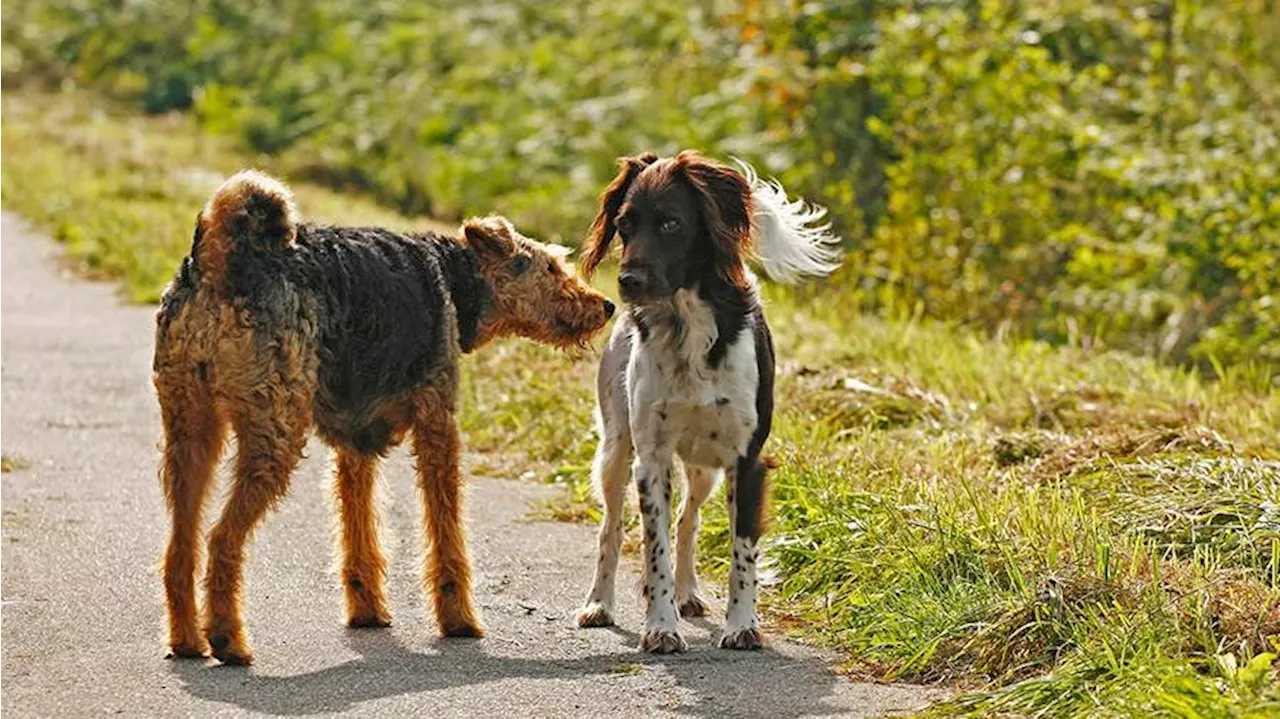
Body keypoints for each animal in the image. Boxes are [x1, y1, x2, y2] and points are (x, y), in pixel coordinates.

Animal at [152, 170, 611, 665]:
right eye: (550, 268)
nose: (606, 305)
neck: (453, 278)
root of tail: (220, 258)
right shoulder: (438, 426)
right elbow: (446, 530)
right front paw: (459, 619)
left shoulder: (355, 444)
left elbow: (360, 533)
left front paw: (367, 610)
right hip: (274, 431)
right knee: (221, 540)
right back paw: (228, 639)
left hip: (189, 427)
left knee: (180, 546)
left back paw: (186, 641)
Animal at [573, 149, 834, 649]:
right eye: (624, 224)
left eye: (671, 223)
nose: (627, 282)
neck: (686, 326)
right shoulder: (651, 459)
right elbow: (653, 549)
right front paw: (660, 626)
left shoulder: (746, 460)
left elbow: (742, 552)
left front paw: (742, 625)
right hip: (616, 451)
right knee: (610, 528)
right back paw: (599, 602)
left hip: (704, 469)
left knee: (687, 520)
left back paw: (688, 593)